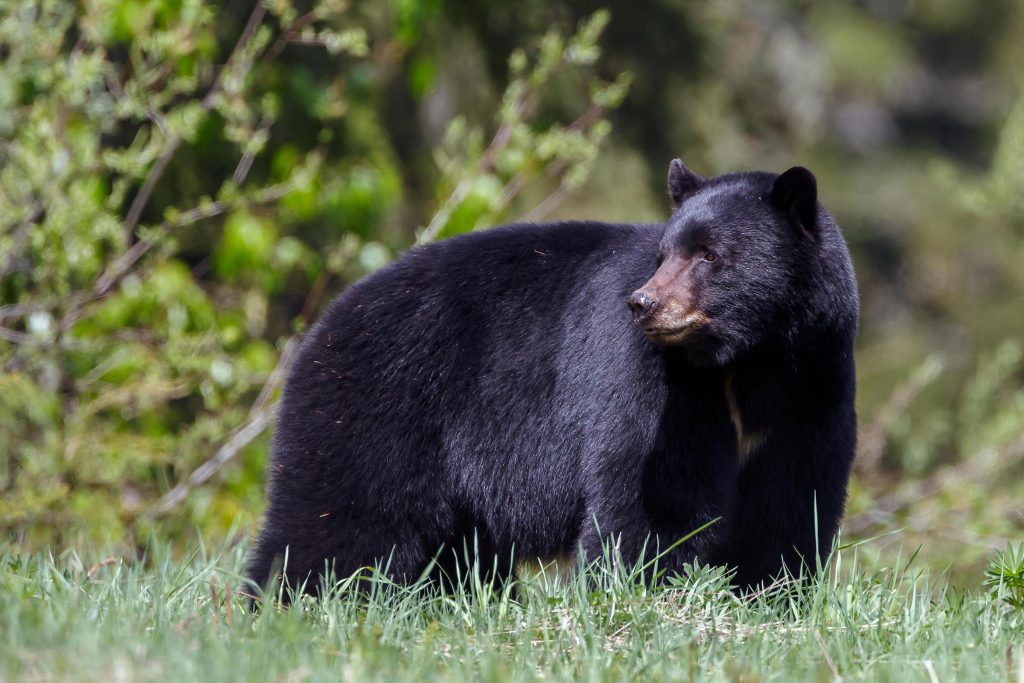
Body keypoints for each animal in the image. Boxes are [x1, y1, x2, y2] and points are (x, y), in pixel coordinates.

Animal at [245, 157, 856, 593]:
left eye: (709, 254)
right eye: (662, 254)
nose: (643, 304)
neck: (745, 362)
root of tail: (320, 328)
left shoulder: (812, 381)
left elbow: (791, 495)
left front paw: (772, 592)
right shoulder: (652, 382)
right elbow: (654, 492)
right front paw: (639, 591)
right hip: (377, 405)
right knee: (335, 519)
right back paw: (286, 603)